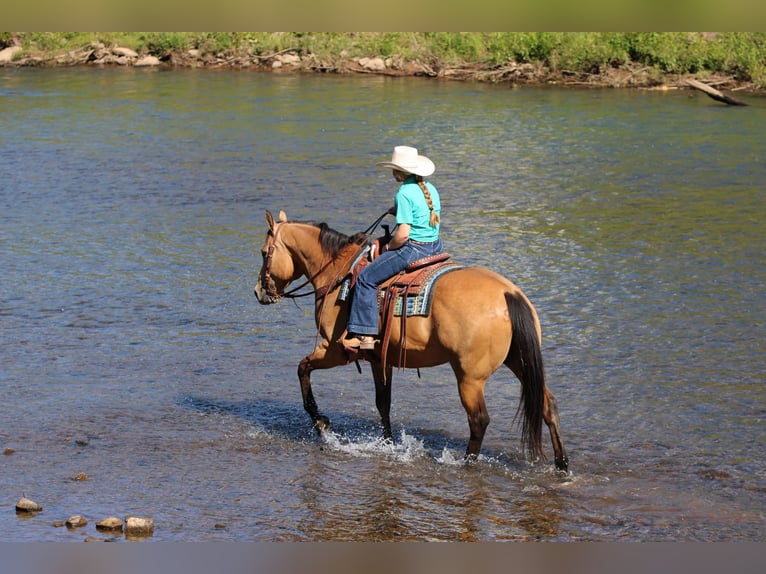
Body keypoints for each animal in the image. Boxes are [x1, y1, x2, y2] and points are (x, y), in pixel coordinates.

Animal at [254, 210, 568, 471]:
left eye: (264, 252)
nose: (258, 291)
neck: (339, 272)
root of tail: (509, 293)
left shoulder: (334, 350)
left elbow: (302, 370)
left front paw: (321, 423)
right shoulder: (380, 359)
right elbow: (383, 403)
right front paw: (387, 444)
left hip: (470, 378)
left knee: (479, 421)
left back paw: (467, 463)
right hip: (519, 362)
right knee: (548, 406)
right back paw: (562, 465)